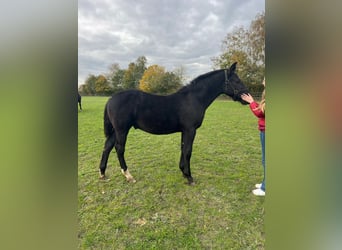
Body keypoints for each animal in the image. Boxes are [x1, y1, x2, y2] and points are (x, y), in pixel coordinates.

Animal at [99, 62, 248, 184]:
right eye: (236, 80)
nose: (247, 96)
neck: (194, 99)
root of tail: (111, 99)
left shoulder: (185, 130)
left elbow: (183, 148)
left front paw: (183, 172)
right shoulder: (190, 130)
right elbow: (188, 151)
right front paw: (189, 177)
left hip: (115, 131)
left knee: (107, 146)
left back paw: (102, 173)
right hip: (122, 130)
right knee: (119, 149)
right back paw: (128, 176)